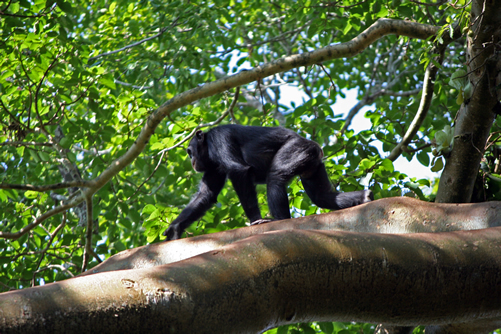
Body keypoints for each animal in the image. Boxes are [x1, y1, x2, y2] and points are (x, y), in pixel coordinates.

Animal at [164, 124, 372, 240]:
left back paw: (280, 220)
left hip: (297, 150)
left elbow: (238, 171)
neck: (207, 145)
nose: (191, 159)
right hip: (312, 166)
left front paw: (255, 220)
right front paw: (175, 229)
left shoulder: (219, 139)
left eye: (189, 151)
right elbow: (206, 195)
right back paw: (364, 196)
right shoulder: (212, 167)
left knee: (275, 178)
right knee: (322, 196)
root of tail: (316, 147)